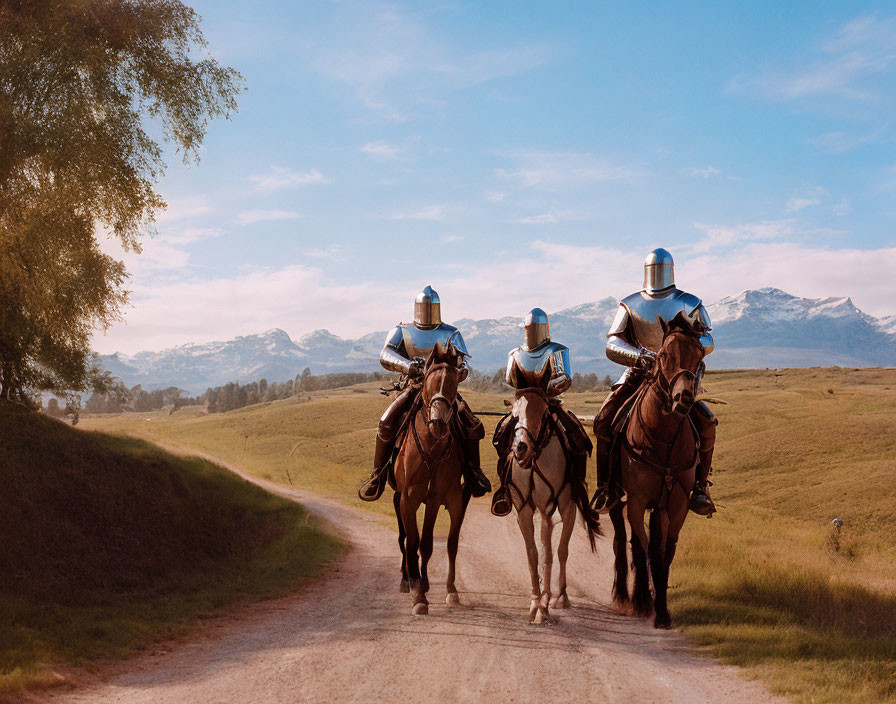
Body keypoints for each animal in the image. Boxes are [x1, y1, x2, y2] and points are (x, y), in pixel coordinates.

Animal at [394, 344, 476, 612]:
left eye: (454, 385)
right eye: (429, 382)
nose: (438, 424)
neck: (431, 445)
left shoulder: (435, 498)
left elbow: (428, 544)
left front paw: (434, 590)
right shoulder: (407, 498)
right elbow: (411, 541)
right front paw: (416, 594)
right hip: (397, 498)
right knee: (404, 537)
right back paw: (407, 579)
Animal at [608, 310, 708, 628]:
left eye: (699, 354)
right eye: (663, 355)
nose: (682, 399)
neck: (662, 438)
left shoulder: (676, 504)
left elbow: (665, 552)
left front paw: (662, 610)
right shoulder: (637, 501)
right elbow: (640, 547)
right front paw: (641, 600)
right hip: (619, 499)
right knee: (620, 537)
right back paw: (625, 594)